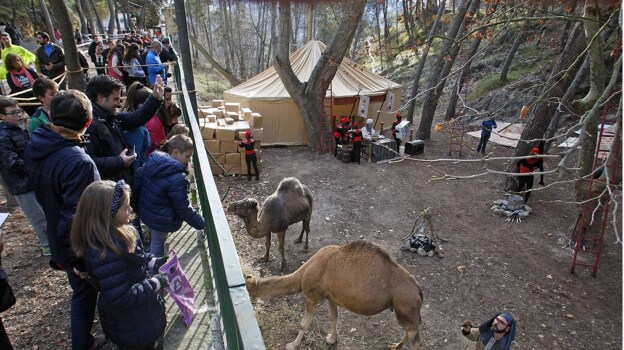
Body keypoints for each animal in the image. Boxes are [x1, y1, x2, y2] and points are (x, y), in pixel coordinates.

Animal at [246, 241, 422, 350]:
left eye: (247, 290)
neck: (303, 273)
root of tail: (418, 290)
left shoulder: (314, 296)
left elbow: (304, 324)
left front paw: (292, 345)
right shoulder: (331, 297)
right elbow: (333, 317)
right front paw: (331, 339)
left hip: (405, 307)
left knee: (415, 338)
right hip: (405, 311)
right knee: (410, 333)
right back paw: (393, 346)